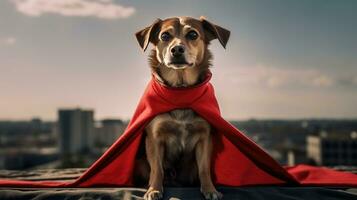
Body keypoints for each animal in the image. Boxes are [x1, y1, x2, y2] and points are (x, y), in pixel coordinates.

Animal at [135, 16, 229, 200]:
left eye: (193, 34)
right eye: (164, 36)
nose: (177, 49)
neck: (180, 92)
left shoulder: (205, 138)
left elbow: (204, 169)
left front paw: (210, 189)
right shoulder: (154, 138)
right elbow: (157, 169)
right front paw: (154, 189)